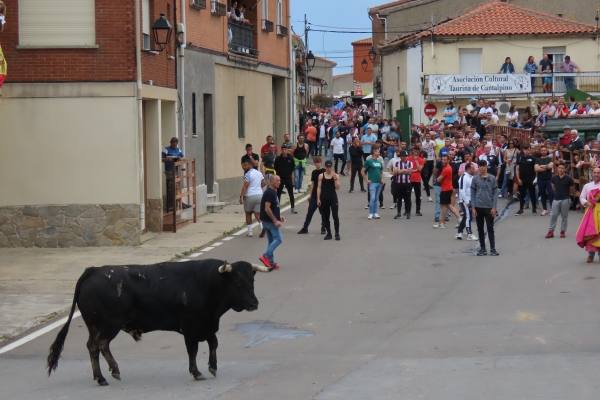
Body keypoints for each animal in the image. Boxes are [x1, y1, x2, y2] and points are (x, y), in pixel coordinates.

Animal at [48, 258, 268, 386]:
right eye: (237, 282)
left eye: (252, 280)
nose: (254, 303)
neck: (209, 282)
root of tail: (92, 270)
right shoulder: (190, 328)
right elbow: (193, 350)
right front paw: (196, 372)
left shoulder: (208, 325)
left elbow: (213, 343)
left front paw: (212, 367)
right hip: (108, 325)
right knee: (99, 345)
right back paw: (108, 375)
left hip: (94, 326)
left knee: (93, 346)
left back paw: (103, 375)